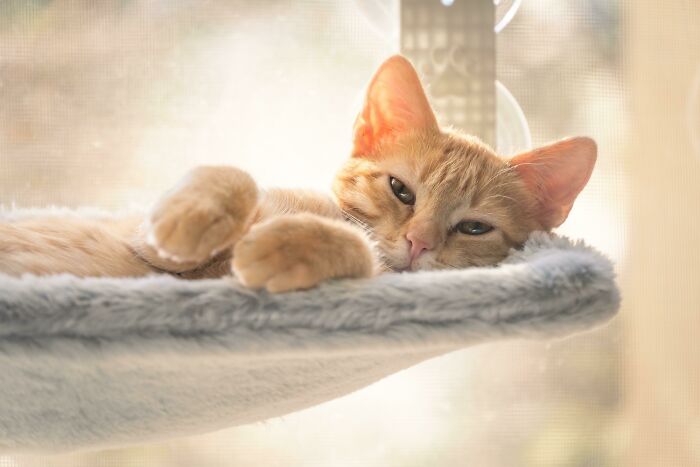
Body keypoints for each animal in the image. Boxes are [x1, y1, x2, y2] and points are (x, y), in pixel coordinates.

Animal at [0, 55, 596, 292]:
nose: (419, 243)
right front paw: (191, 218)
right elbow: (238, 178)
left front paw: (287, 245)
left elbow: (360, 252)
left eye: (474, 228)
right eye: (401, 190)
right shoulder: (139, 234)